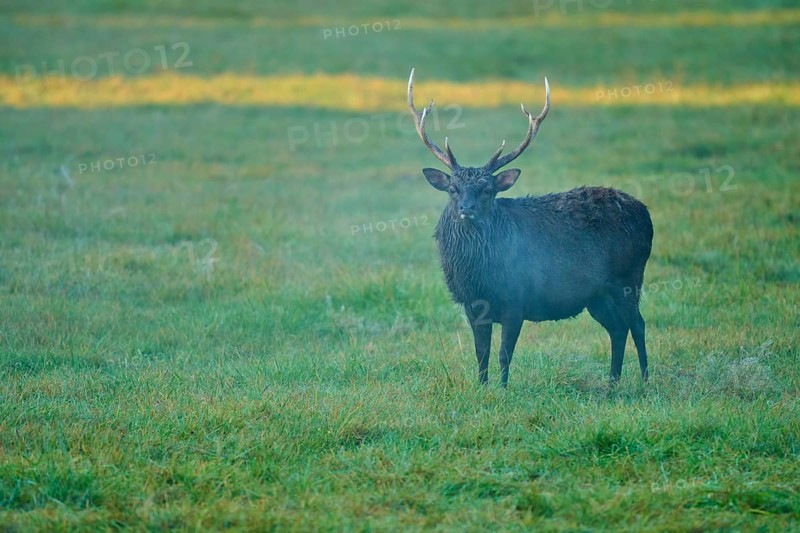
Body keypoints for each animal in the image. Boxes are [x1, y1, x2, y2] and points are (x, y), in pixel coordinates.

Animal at [407, 68, 654, 387]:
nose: (466, 209)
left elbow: (503, 354)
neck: (478, 275)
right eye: (453, 189)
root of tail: (645, 213)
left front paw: (503, 389)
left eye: (487, 190)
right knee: (617, 328)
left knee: (638, 323)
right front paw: (482, 386)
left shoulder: (517, 299)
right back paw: (612, 382)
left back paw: (645, 380)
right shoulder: (473, 305)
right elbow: (481, 352)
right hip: (598, 295)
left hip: (628, 278)